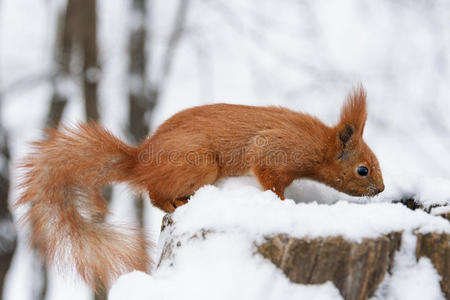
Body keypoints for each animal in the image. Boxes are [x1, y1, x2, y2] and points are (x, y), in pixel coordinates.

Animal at [14, 85, 384, 292]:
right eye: (363, 170)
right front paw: (281, 202)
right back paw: (177, 203)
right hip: (197, 164)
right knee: (154, 194)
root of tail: (139, 161)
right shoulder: (273, 149)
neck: (318, 145)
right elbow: (269, 177)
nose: (381, 190)